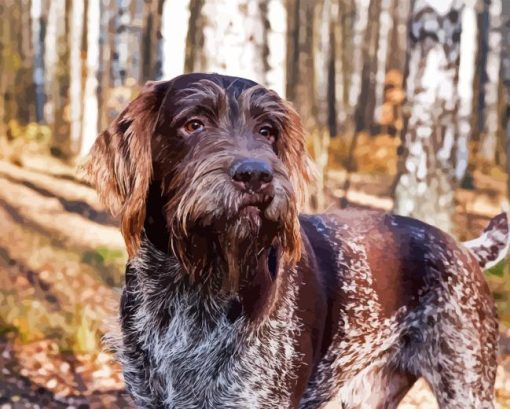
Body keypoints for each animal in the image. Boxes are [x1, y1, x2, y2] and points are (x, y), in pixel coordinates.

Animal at [84, 74, 506, 408]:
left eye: (267, 131)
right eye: (194, 124)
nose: (256, 175)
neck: (193, 283)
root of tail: (463, 249)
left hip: (465, 386)